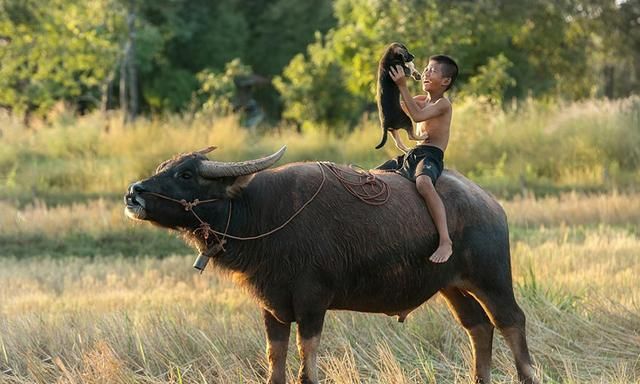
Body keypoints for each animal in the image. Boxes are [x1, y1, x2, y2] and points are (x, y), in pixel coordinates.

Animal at [124, 146, 536, 382]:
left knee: (511, 321)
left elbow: (307, 368)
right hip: (452, 286)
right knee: (478, 326)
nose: (133, 193)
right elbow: (275, 367)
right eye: (163, 166)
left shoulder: (312, 303)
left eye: (186, 174)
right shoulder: (271, 307)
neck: (263, 214)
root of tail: (489, 204)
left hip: (492, 278)